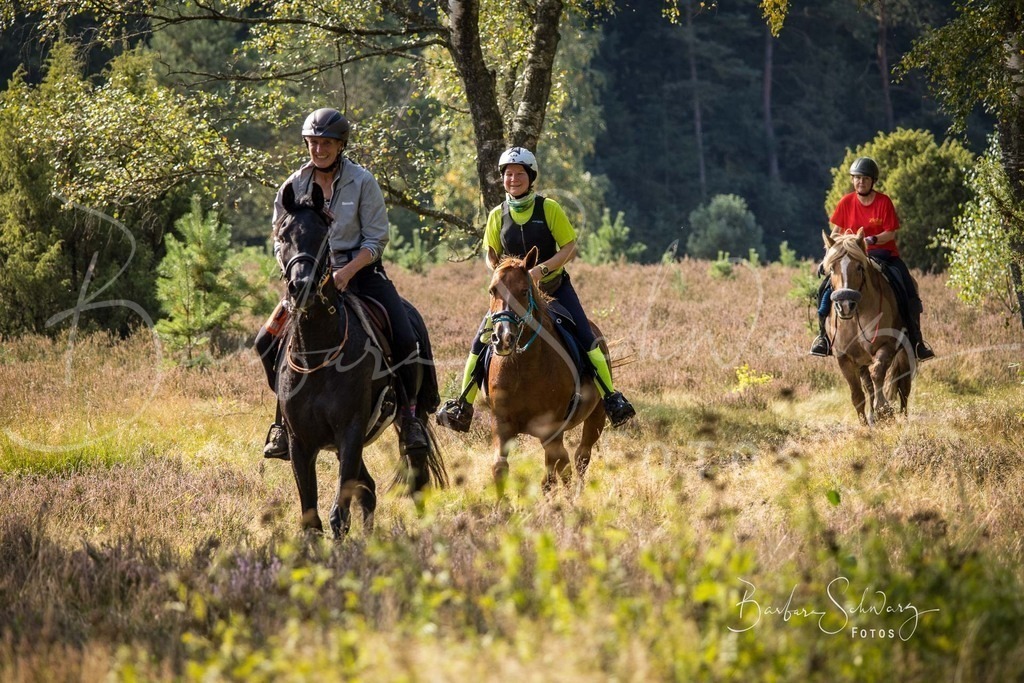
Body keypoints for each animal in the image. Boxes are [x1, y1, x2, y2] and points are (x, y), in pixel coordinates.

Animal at [484, 245, 608, 495]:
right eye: (492, 291)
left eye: (523, 291)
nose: (503, 338)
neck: (523, 368)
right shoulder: (502, 424)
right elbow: (500, 467)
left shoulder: (550, 430)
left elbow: (557, 472)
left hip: (596, 416)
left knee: (580, 457)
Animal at [822, 229, 913, 425]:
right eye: (832, 268)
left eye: (859, 267)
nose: (845, 304)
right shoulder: (844, 357)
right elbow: (857, 394)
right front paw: (865, 424)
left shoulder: (887, 346)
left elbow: (878, 373)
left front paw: (884, 410)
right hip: (862, 360)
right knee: (868, 385)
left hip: (904, 354)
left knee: (904, 386)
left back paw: (903, 418)